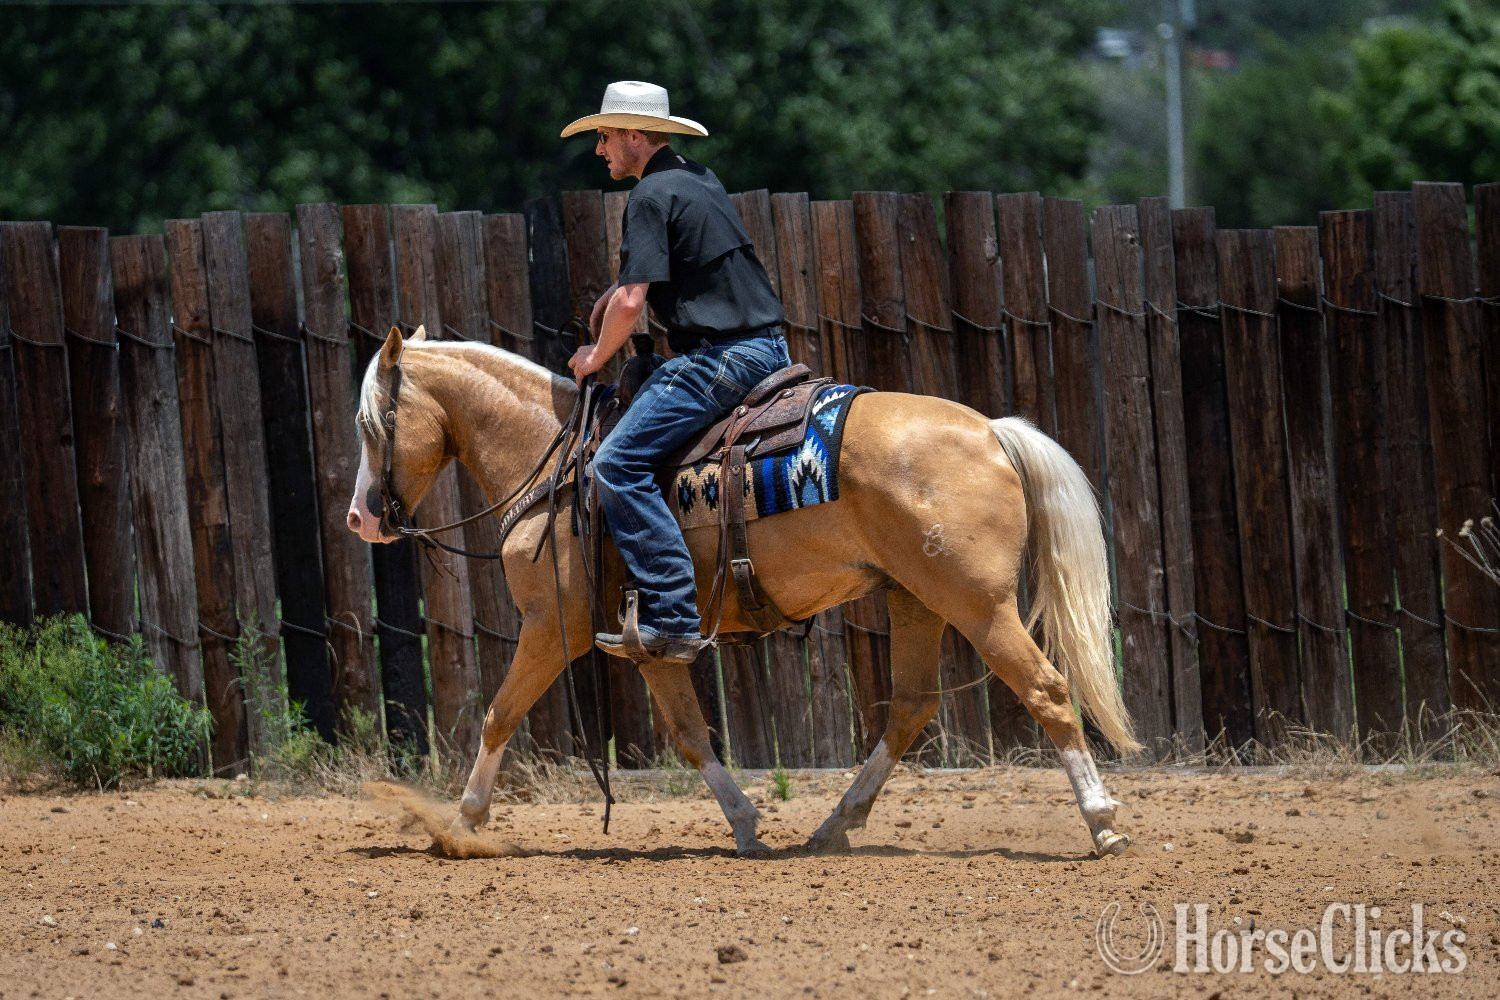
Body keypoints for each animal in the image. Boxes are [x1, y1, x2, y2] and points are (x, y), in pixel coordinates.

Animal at [346, 325, 1139, 858]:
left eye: (368, 422)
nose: (361, 518)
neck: (560, 469)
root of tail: (991, 432)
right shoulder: (648, 643)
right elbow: (690, 733)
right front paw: (748, 826)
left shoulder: (549, 625)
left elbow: (498, 716)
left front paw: (460, 824)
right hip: (916, 600)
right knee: (910, 710)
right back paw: (834, 826)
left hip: (979, 606)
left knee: (1046, 690)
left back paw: (1102, 822)